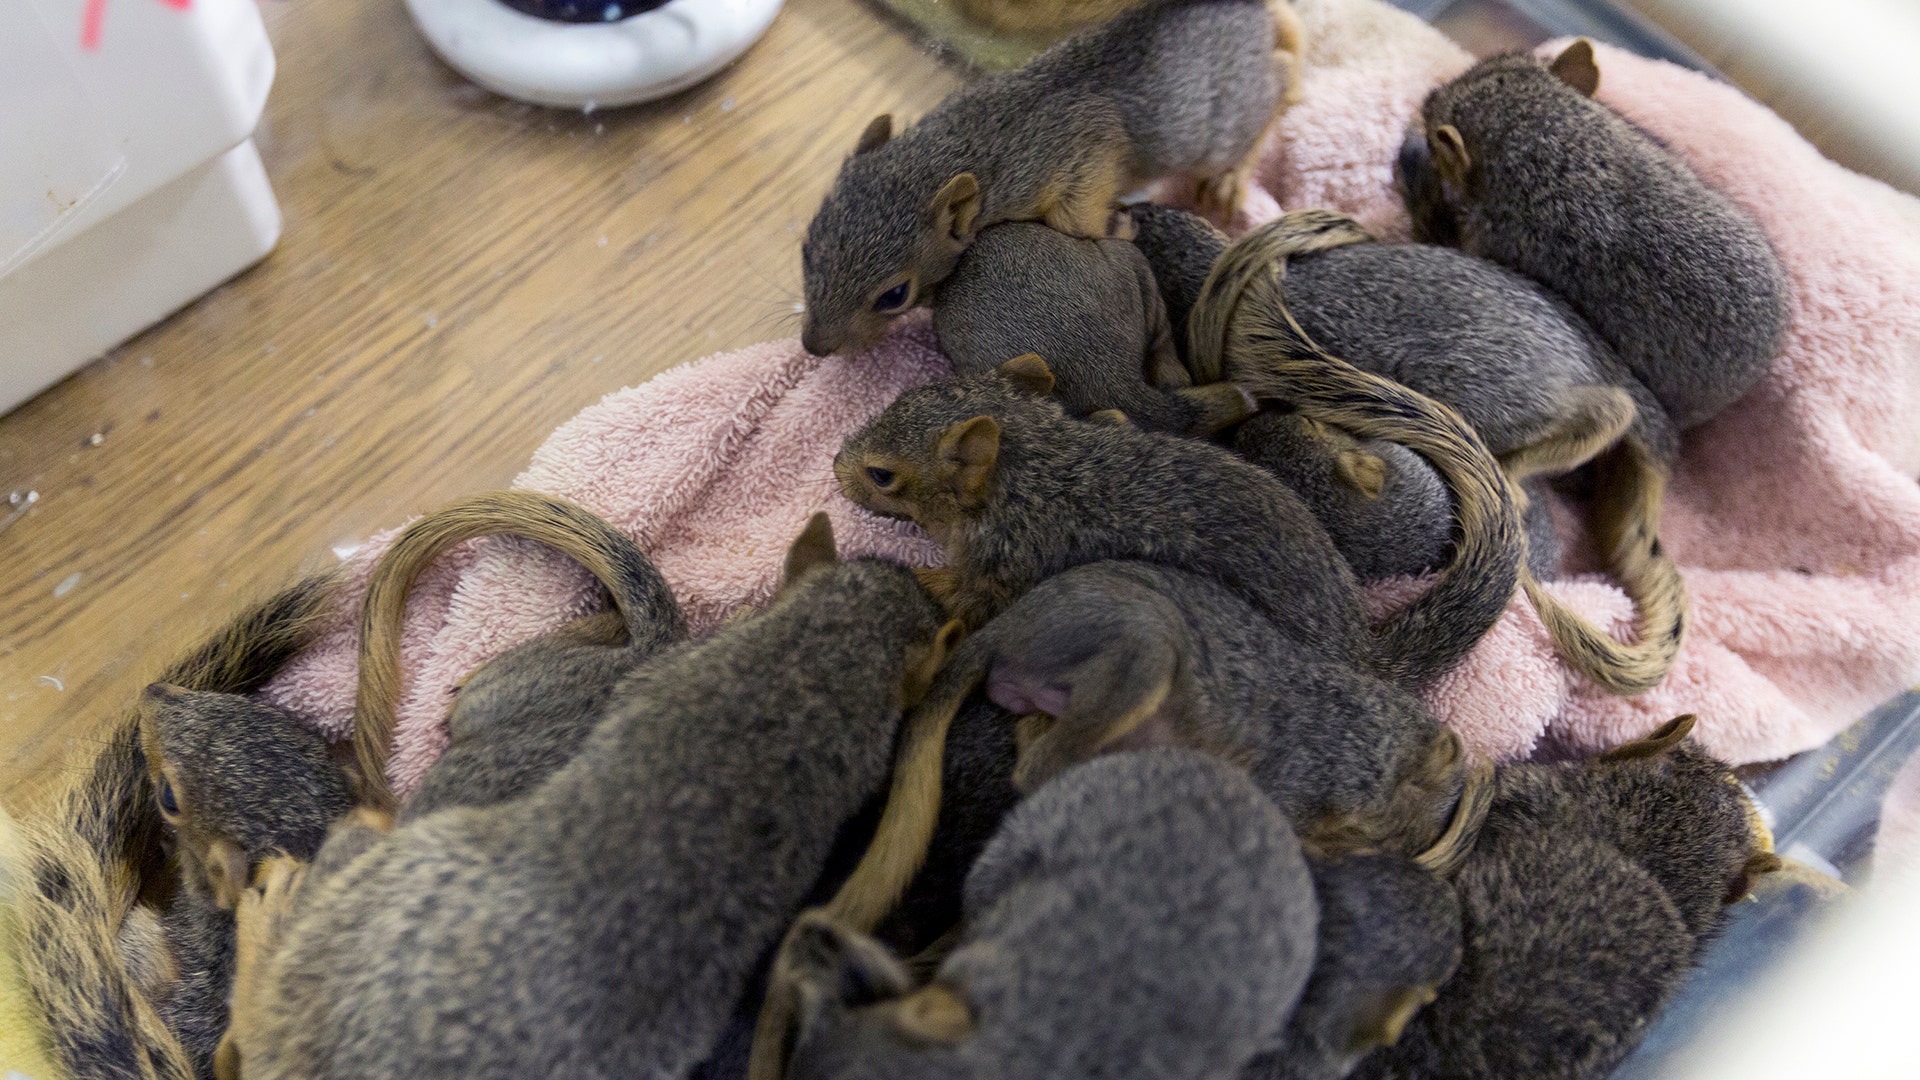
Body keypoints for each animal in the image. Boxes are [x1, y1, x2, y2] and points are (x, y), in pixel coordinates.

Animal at [799, 0, 1304, 355]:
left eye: (894, 295)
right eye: (805, 248)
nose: (814, 347)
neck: (958, 147)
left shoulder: (1084, 146)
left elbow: (1076, 218)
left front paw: (1119, 223)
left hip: (1226, 123)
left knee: (1278, 83)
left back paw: (1237, 171)